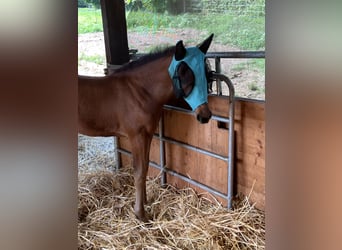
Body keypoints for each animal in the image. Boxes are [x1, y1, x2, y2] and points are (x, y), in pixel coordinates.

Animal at [79, 33, 214, 221]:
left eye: (208, 75)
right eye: (185, 75)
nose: (205, 115)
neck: (139, 92)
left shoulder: (148, 134)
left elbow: (146, 166)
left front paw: (145, 201)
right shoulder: (136, 136)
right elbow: (139, 171)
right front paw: (141, 214)